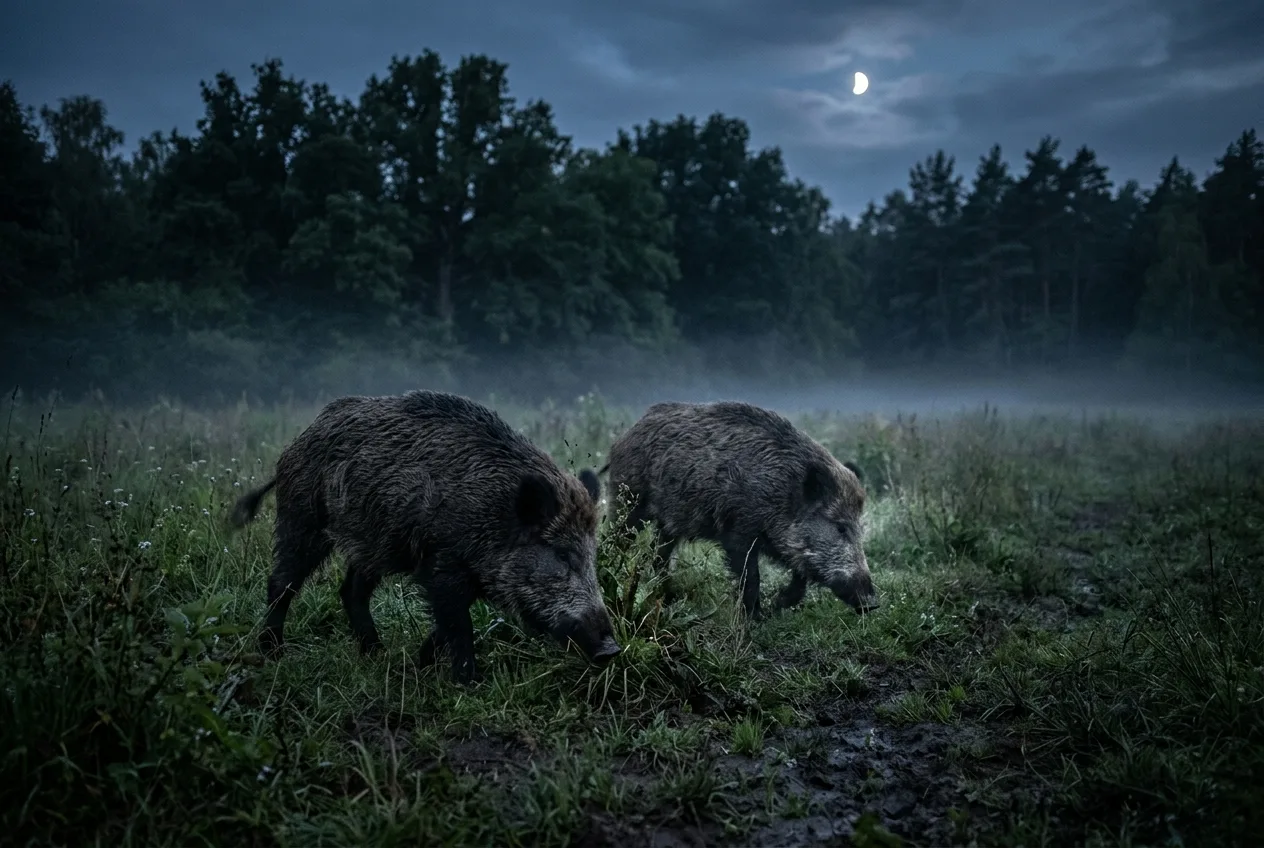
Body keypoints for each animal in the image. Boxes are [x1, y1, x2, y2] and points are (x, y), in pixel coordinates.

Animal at [229, 390, 620, 683]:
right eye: (561, 555)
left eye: (592, 556)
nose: (611, 650)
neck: (494, 516)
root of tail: (299, 438)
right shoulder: (443, 562)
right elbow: (458, 623)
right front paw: (467, 682)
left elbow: (446, 624)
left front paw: (423, 663)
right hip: (302, 517)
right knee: (282, 582)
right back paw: (273, 652)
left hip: (375, 543)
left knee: (351, 589)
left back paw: (376, 653)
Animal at [600, 400, 877, 619]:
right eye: (840, 527)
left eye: (860, 528)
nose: (872, 603)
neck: (782, 493)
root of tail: (623, 436)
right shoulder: (739, 531)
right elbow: (750, 575)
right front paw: (755, 617)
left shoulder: (778, 543)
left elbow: (799, 578)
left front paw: (778, 605)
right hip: (629, 500)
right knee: (618, 539)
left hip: (667, 521)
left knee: (659, 553)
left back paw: (669, 595)